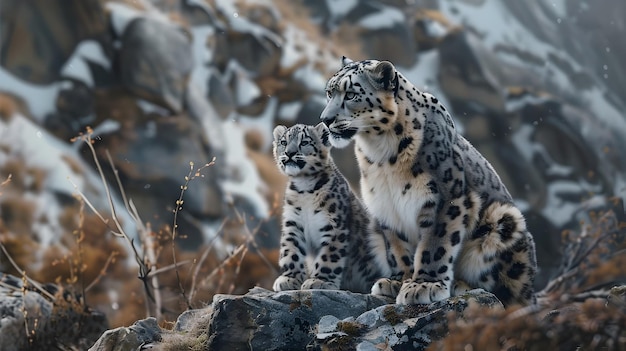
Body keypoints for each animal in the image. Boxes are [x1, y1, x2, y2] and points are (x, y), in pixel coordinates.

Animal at [320, 57, 532, 306]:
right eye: (329, 93)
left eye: (351, 94)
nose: (325, 119)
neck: (381, 155)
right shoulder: (386, 206)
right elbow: (397, 247)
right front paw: (398, 281)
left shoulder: (446, 198)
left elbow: (435, 244)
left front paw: (424, 285)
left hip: (505, 221)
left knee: (511, 295)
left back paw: (463, 286)